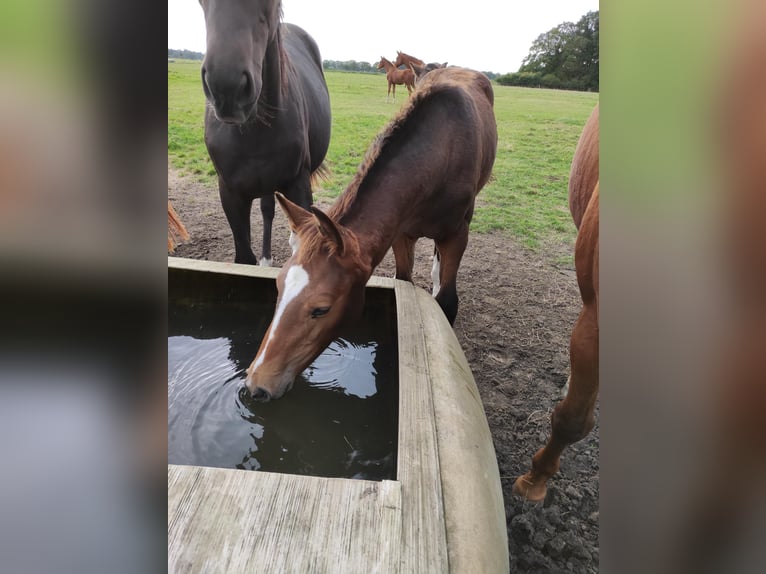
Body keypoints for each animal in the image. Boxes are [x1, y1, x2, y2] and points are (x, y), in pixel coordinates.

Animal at [244, 66, 498, 400]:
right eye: (278, 286)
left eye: (321, 309)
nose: (257, 384)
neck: (441, 152)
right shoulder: (401, 233)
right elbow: (404, 282)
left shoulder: (457, 235)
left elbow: (447, 301)